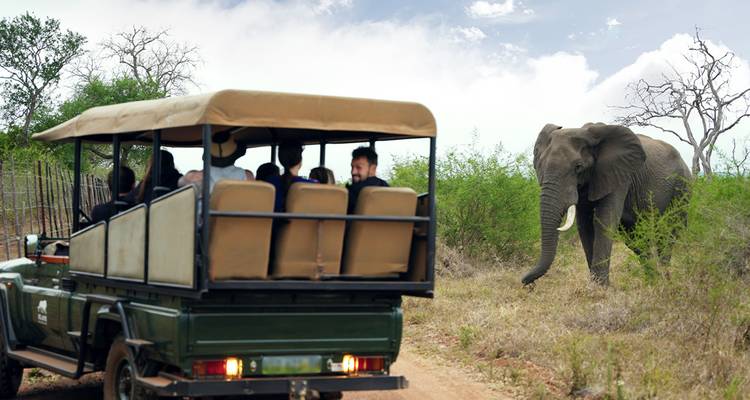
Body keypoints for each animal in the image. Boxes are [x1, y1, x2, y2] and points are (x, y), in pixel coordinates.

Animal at [522, 123, 691, 286]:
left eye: (578, 167)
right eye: (540, 165)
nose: (526, 282)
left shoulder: (619, 174)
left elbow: (604, 220)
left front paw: (599, 288)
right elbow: (585, 226)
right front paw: (595, 286)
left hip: (682, 187)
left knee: (668, 233)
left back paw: (665, 280)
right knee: (636, 239)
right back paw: (653, 280)